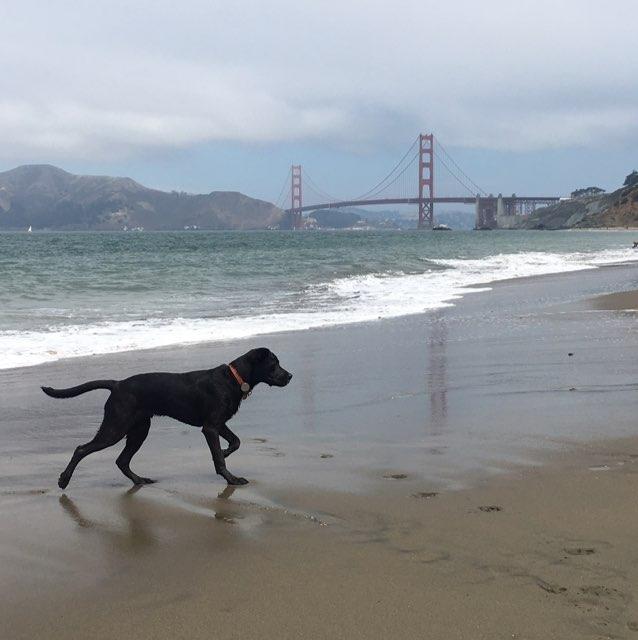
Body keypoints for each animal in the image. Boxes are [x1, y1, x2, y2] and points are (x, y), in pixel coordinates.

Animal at [43, 348, 294, 488]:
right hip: (115, 427)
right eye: (274, 364)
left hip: (139, 429)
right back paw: (64, 480)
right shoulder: (210, 427)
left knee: (122, 460)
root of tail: (117, 384)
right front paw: (231, 478)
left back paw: (139, 480)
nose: (290, 376)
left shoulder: (218, 423)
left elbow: (236, 441)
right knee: (81, 449)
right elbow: (219, 458)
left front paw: (224, 452)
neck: (232, 378)